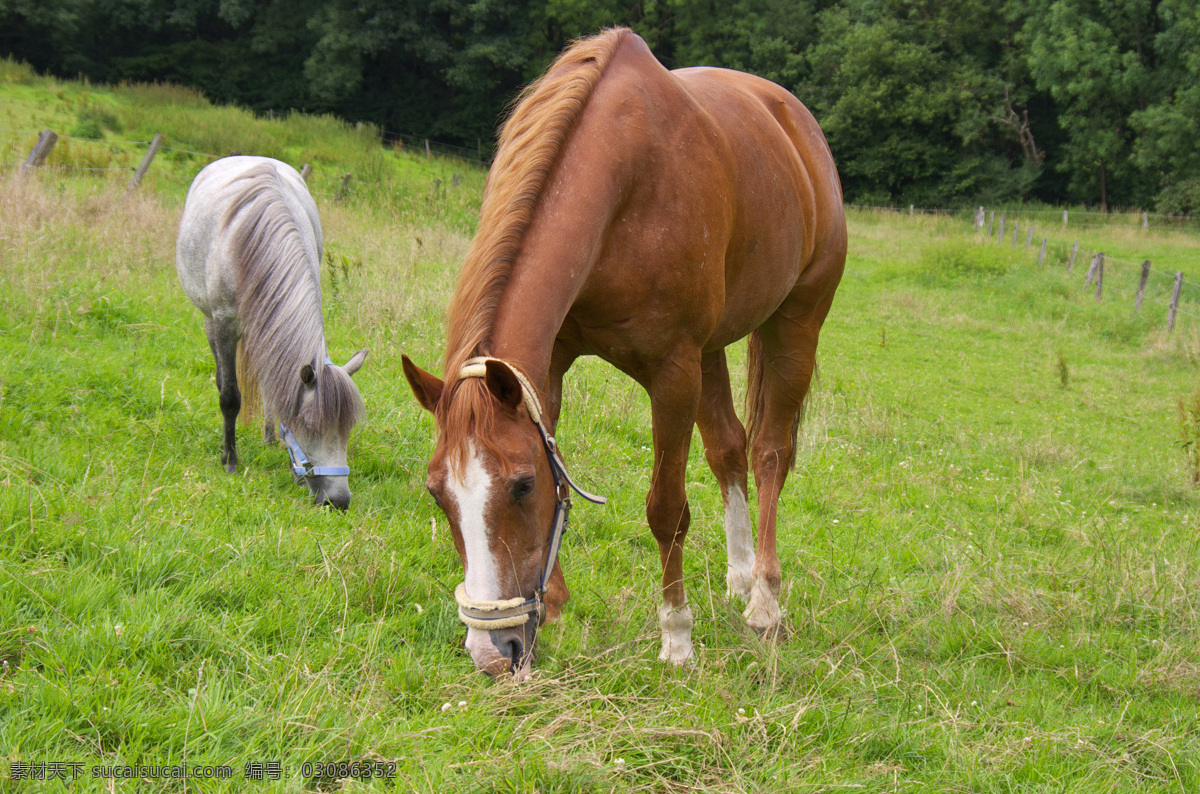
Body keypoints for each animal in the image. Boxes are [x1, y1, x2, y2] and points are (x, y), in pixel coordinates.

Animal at [177, 156, 368, 509]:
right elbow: (230, 396)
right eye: (310, 426)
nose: (338, 500)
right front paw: (229, 460)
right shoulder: (224, 325)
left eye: (347, 428)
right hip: (211, 322)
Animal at [403, 28, 846, 677]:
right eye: (438, 493)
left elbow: (666, 508)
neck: (624, 182)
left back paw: (764, 600)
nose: (493, 653)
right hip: (713, 350)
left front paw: (677, 637)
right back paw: (740, 576)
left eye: (521, 486)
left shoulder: (672, 374)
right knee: (729, 447)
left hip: (794, 324)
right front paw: (555, 605)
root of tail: (797, 124)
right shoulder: (549, 367)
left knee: (769, 452)